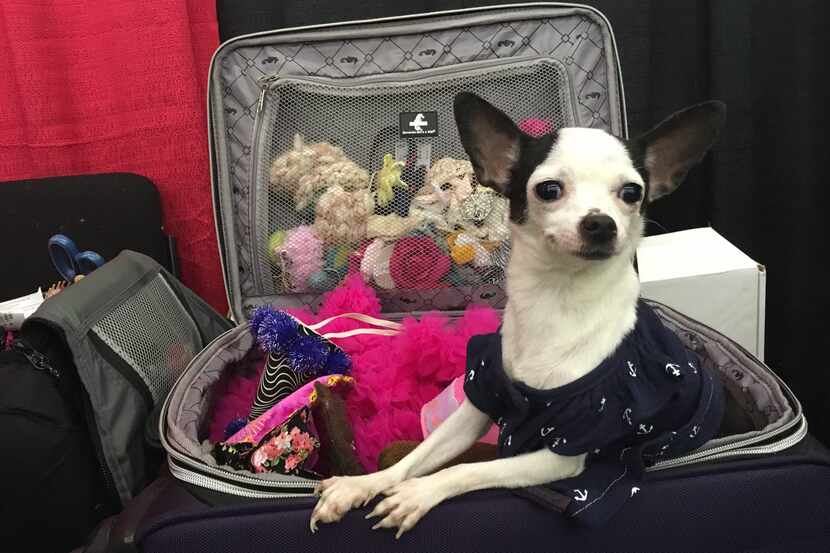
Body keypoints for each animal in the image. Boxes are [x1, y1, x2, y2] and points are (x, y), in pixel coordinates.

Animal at [308, 92, 724, 536]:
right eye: (549, 189)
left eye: (631, 193)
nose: (601, 223)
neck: (556, 299)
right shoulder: (480, 398)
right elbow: (415, 457)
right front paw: (363, 483)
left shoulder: (561, 453)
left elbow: (464, 471)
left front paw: (416, 494)